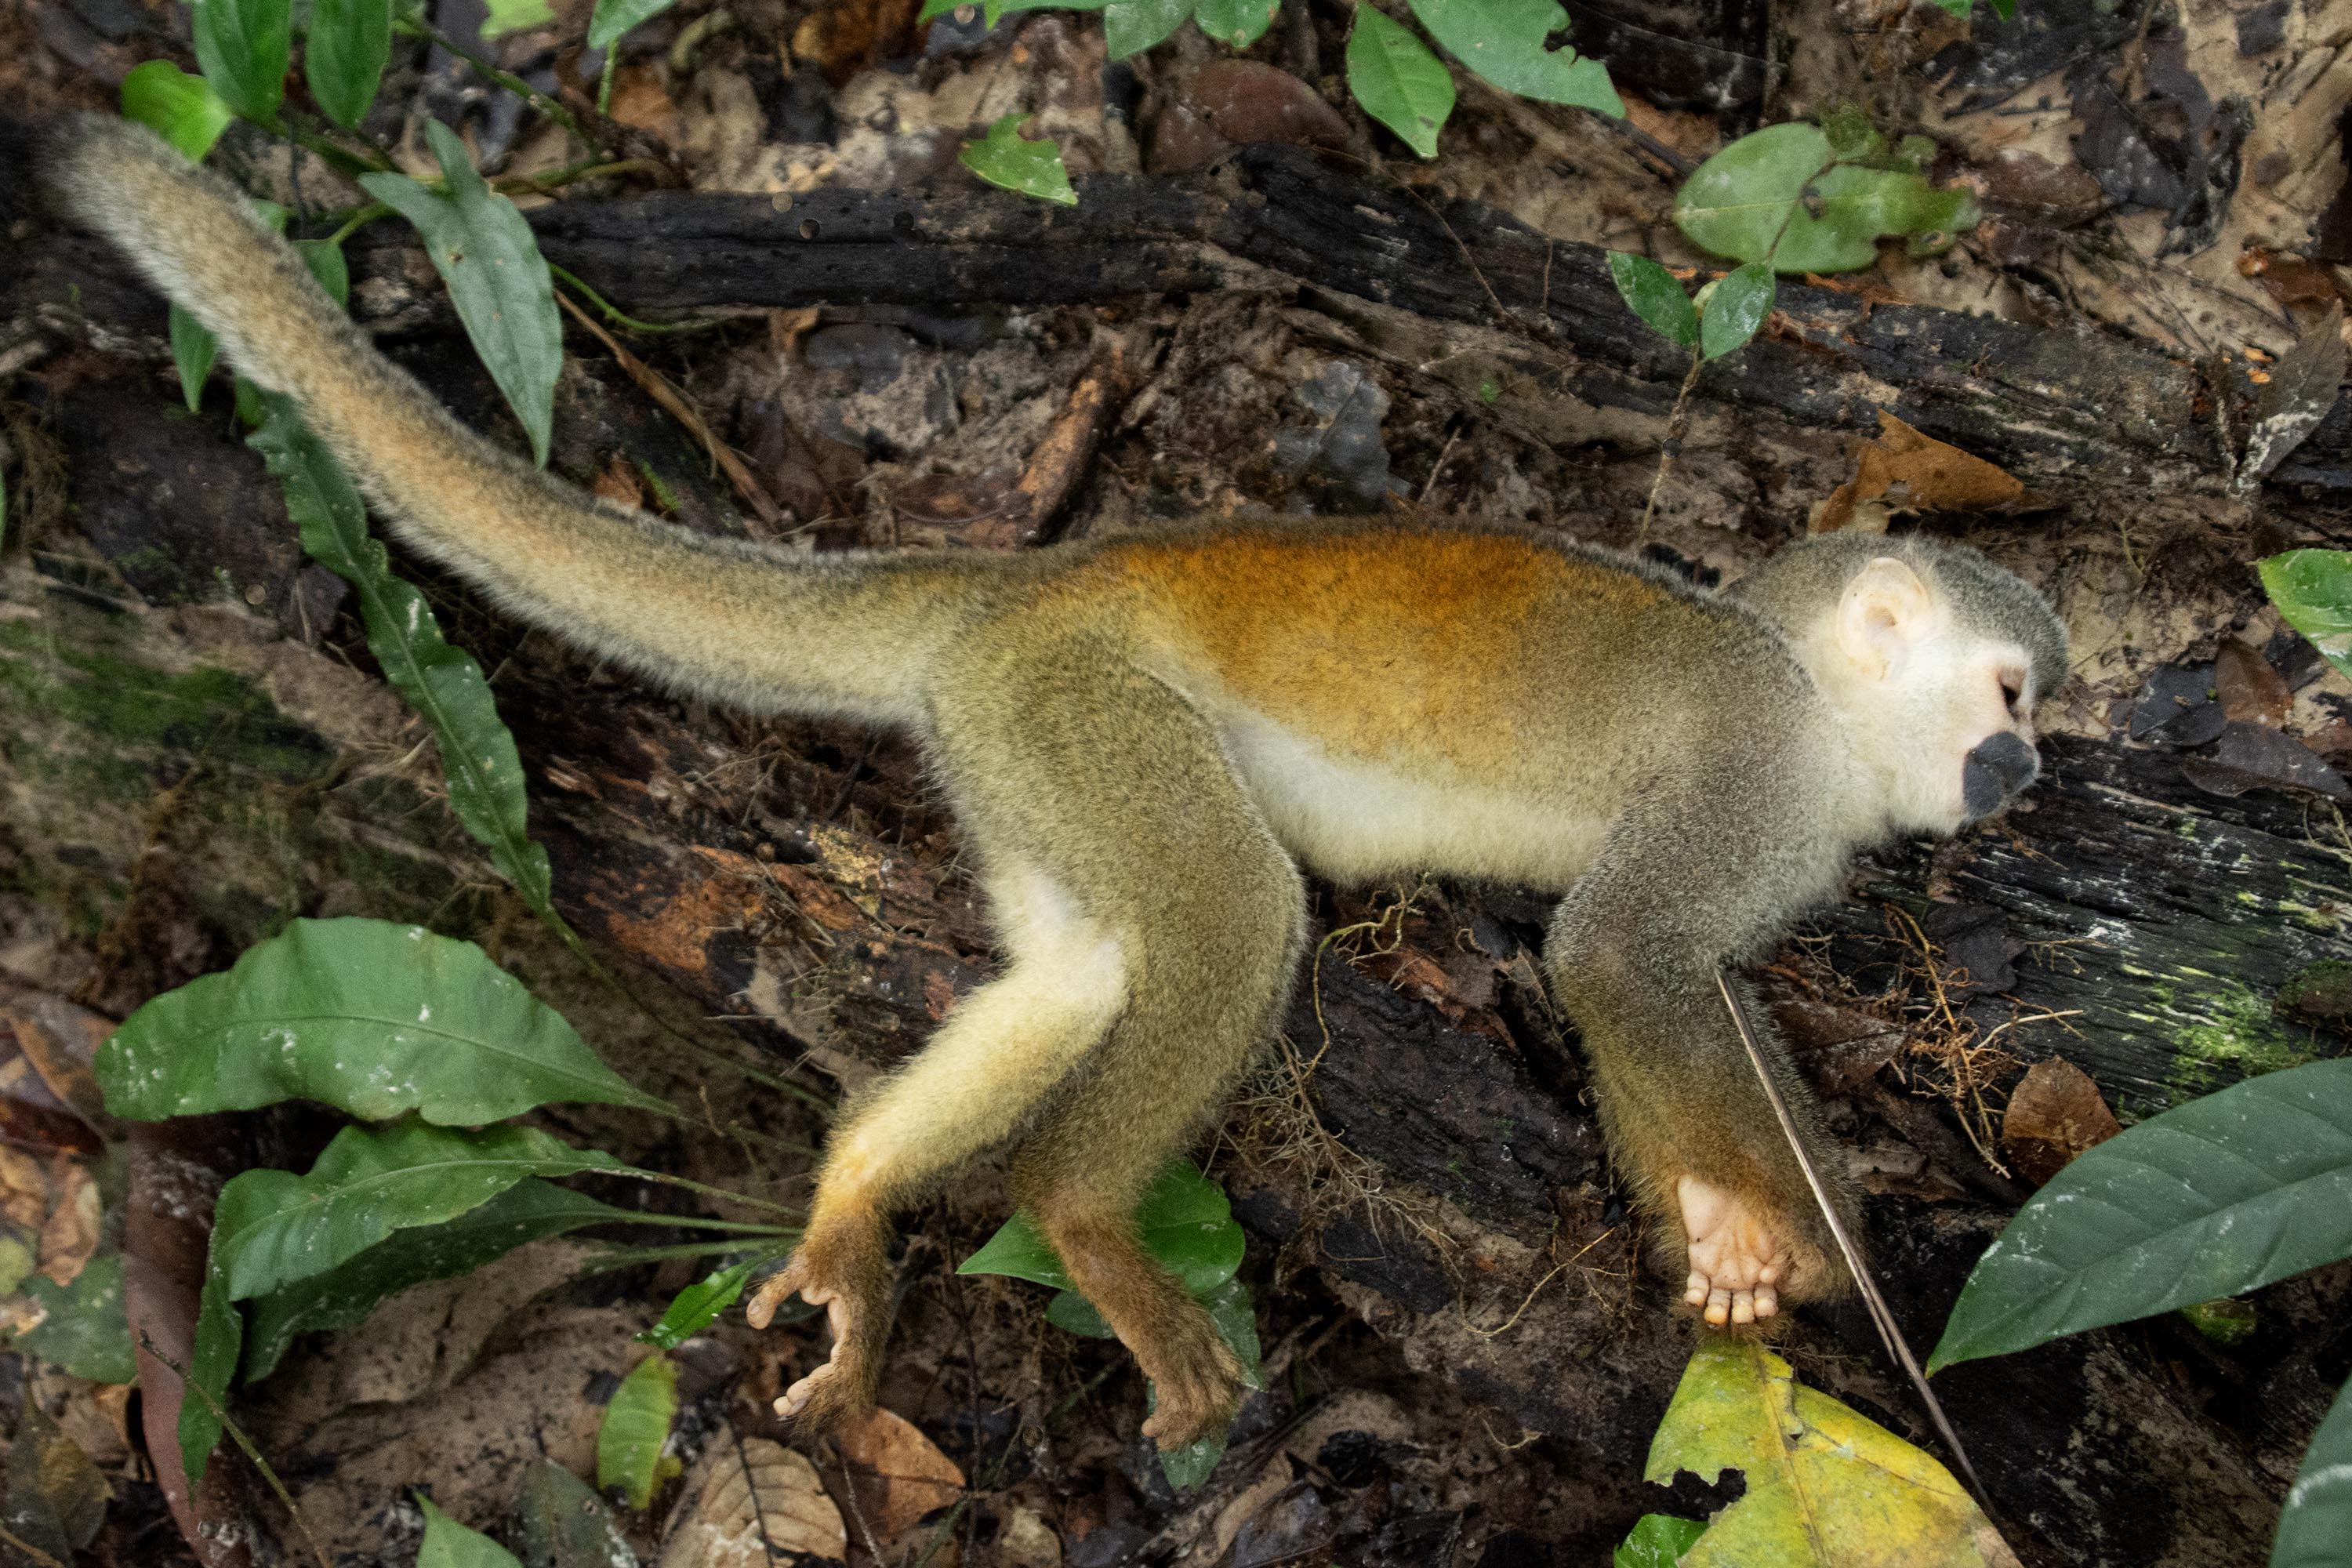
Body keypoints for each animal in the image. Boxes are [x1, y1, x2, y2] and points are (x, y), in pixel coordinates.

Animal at [47, 117, 2068, 1454]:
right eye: (2012, 689)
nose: (2032, 765)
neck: (1817, 719)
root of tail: (1009, 584)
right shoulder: (1748, 765)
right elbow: (1620, 959)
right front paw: (1785, 1232)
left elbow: (1651, 978)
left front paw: (1721, 1246)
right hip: (1087, 701)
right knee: (1230, 913)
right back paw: (1081, 1211)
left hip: (1011, 741)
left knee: (1088, 960)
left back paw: (861, 1185)